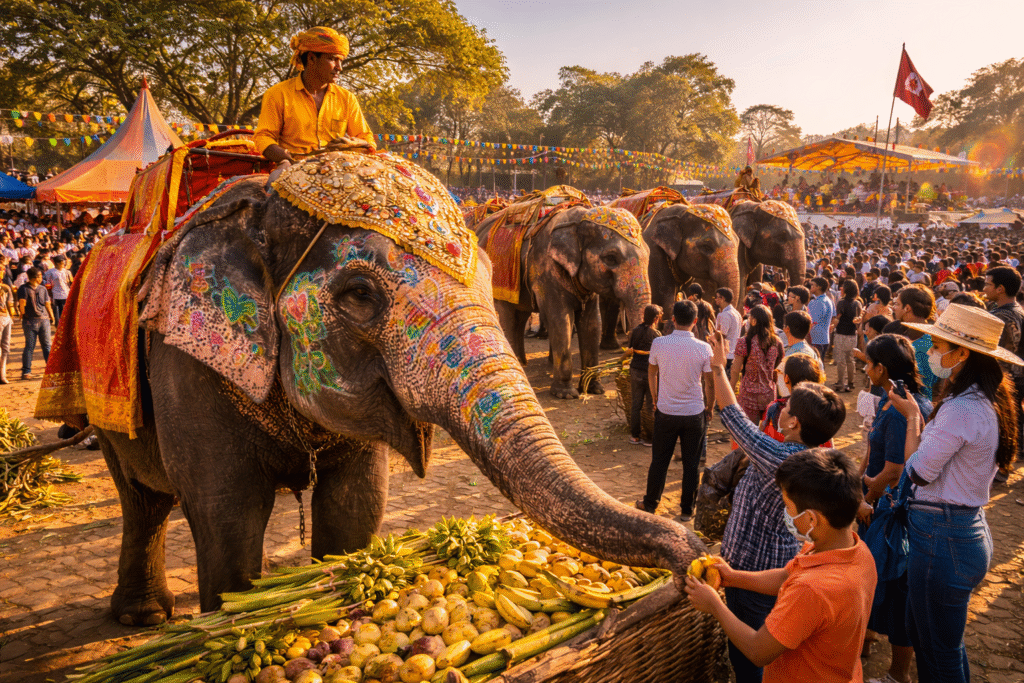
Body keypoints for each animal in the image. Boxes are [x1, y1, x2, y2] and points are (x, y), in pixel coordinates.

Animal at [475, 204, 651, 399]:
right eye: (611, 258)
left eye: (648, 254)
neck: (579, 219)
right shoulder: (546, 270)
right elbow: (561, 320)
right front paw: (566, 394)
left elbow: (592, 323)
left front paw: (594, 389)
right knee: (509, 317)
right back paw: (519, 366)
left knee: (520, 316)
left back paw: (523, 363)